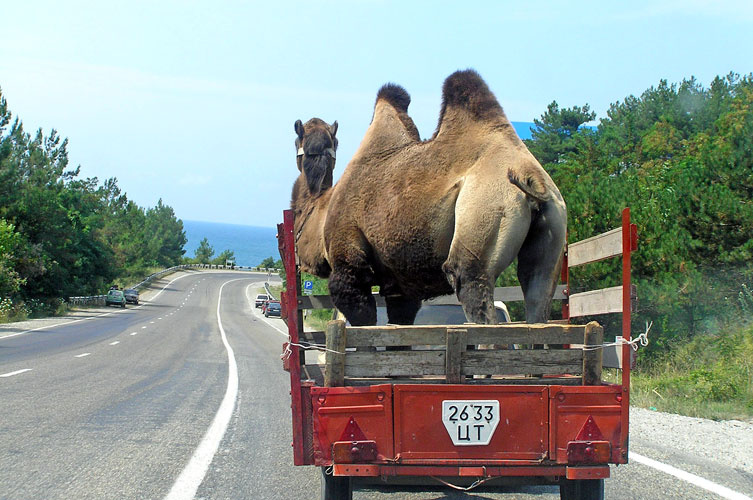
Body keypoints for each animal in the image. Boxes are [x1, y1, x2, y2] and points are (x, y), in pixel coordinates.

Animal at [291, 69, 566, 326]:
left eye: (296, 139)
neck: (322, 204)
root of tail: (532, 176)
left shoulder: (349, 266)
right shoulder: (400, 287)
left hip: (485, 216)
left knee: (470, 285)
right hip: (551, 233)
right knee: (537, 295)